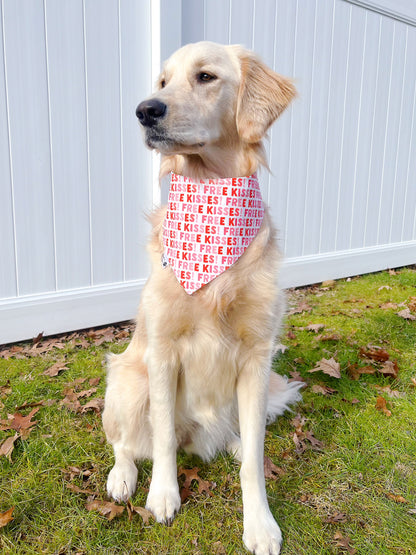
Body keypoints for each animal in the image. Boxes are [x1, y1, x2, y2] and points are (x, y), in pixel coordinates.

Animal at [102, 42, 300, 555]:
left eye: (205, 77)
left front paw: (260, 524)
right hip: (128, 382)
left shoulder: (256, 357)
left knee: (240, 438)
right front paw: (163, 496)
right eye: (162, 81)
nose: (145, 111)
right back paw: (122, 478)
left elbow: (253, 462)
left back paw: (232, 443)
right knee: (127, 444)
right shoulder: (163, 351)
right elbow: (163, 441)